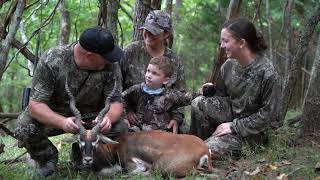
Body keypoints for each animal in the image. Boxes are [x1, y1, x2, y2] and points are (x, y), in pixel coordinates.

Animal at [64, 75, 212, 178]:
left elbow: (130, 171)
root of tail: (204, 149)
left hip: (161, 165)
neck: (114, 148)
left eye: (96, 140)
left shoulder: (133, 164)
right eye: (80, 141)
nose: (87, 159)